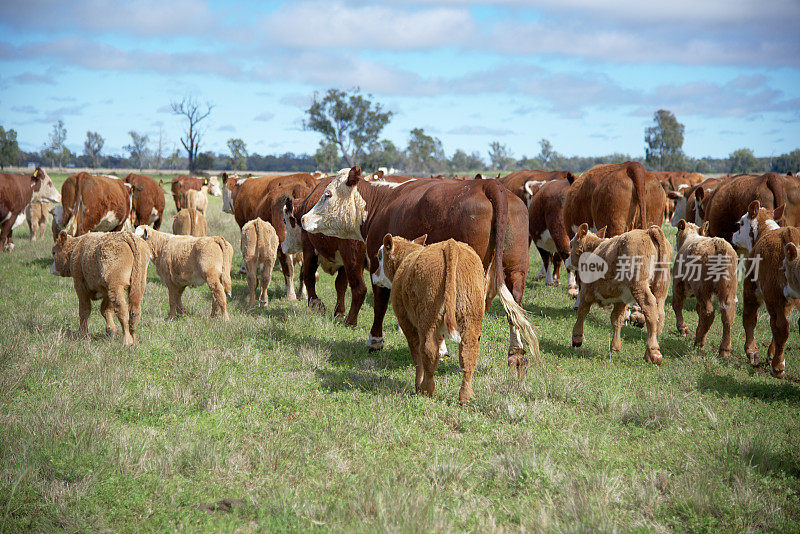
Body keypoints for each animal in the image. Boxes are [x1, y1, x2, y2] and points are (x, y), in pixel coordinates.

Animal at [304, 165, 540, 378]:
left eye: (327, 194)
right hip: (516, 270)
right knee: (515, 306)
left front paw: (375, 341)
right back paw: (516, 356)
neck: (380, 204)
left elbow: (380, 304)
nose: (304, 218)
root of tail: (488, 185)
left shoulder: (379, 267)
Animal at [564, 224, 672, 366]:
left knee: (650, 309)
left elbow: (582, 312)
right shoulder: (621, 299)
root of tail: (648, 232)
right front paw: (615, 346)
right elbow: (617, 318)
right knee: (660, 315)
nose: (566, 260)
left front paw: (577, 338)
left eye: (571, 244)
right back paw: (648, 353)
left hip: (639, 285)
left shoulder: (586, 291)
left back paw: (654, 352)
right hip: (660, 289)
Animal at [668, 220, 736, 358]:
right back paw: (724, 350)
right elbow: (698, 310)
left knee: (708, 312)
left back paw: (699, 342)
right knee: (727, 314)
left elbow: (677, 304)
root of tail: (718, 243)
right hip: (728, 289)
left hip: (701, 288)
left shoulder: (678, 283)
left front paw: (683, 328)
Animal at [732, 202, 800, 382]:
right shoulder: (788, 300)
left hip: (771, 293)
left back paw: (777, 367)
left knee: (781, 326)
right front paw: (771, 353)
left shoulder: (751, 287)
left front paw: (751, 351)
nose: (733, 236)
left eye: (740, 224)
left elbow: (749, 318)